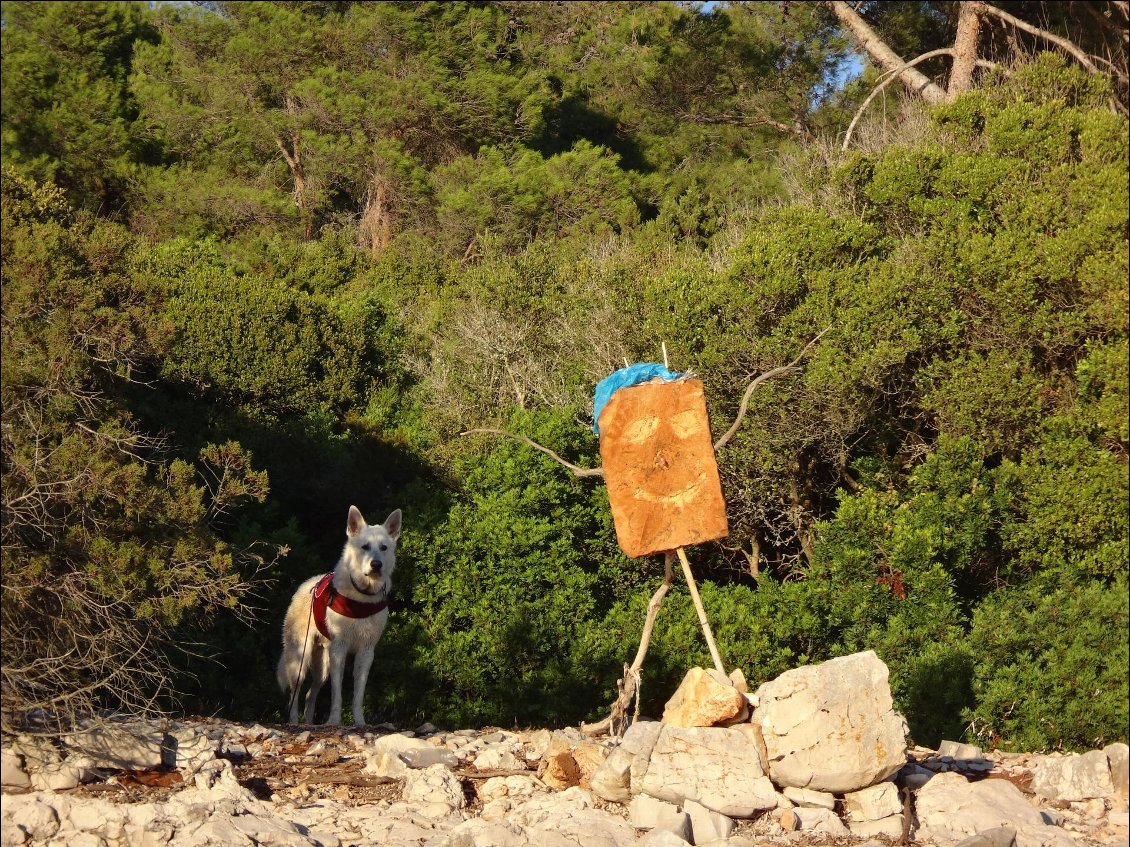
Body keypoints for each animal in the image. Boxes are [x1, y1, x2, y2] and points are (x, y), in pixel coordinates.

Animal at [277, 508, 402, 727]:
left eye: (384, 548)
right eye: (365, 546)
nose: (376, 564)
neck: (361, 595)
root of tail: (305, 585)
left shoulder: (366, 652)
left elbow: (358, 694)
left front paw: (360, 722)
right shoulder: (339, 649)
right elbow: (337, 693)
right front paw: (334, 721)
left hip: (322, 665)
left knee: (310, 694)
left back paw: (309, 724)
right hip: (300, 657)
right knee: (295, 693)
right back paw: (294, 722)